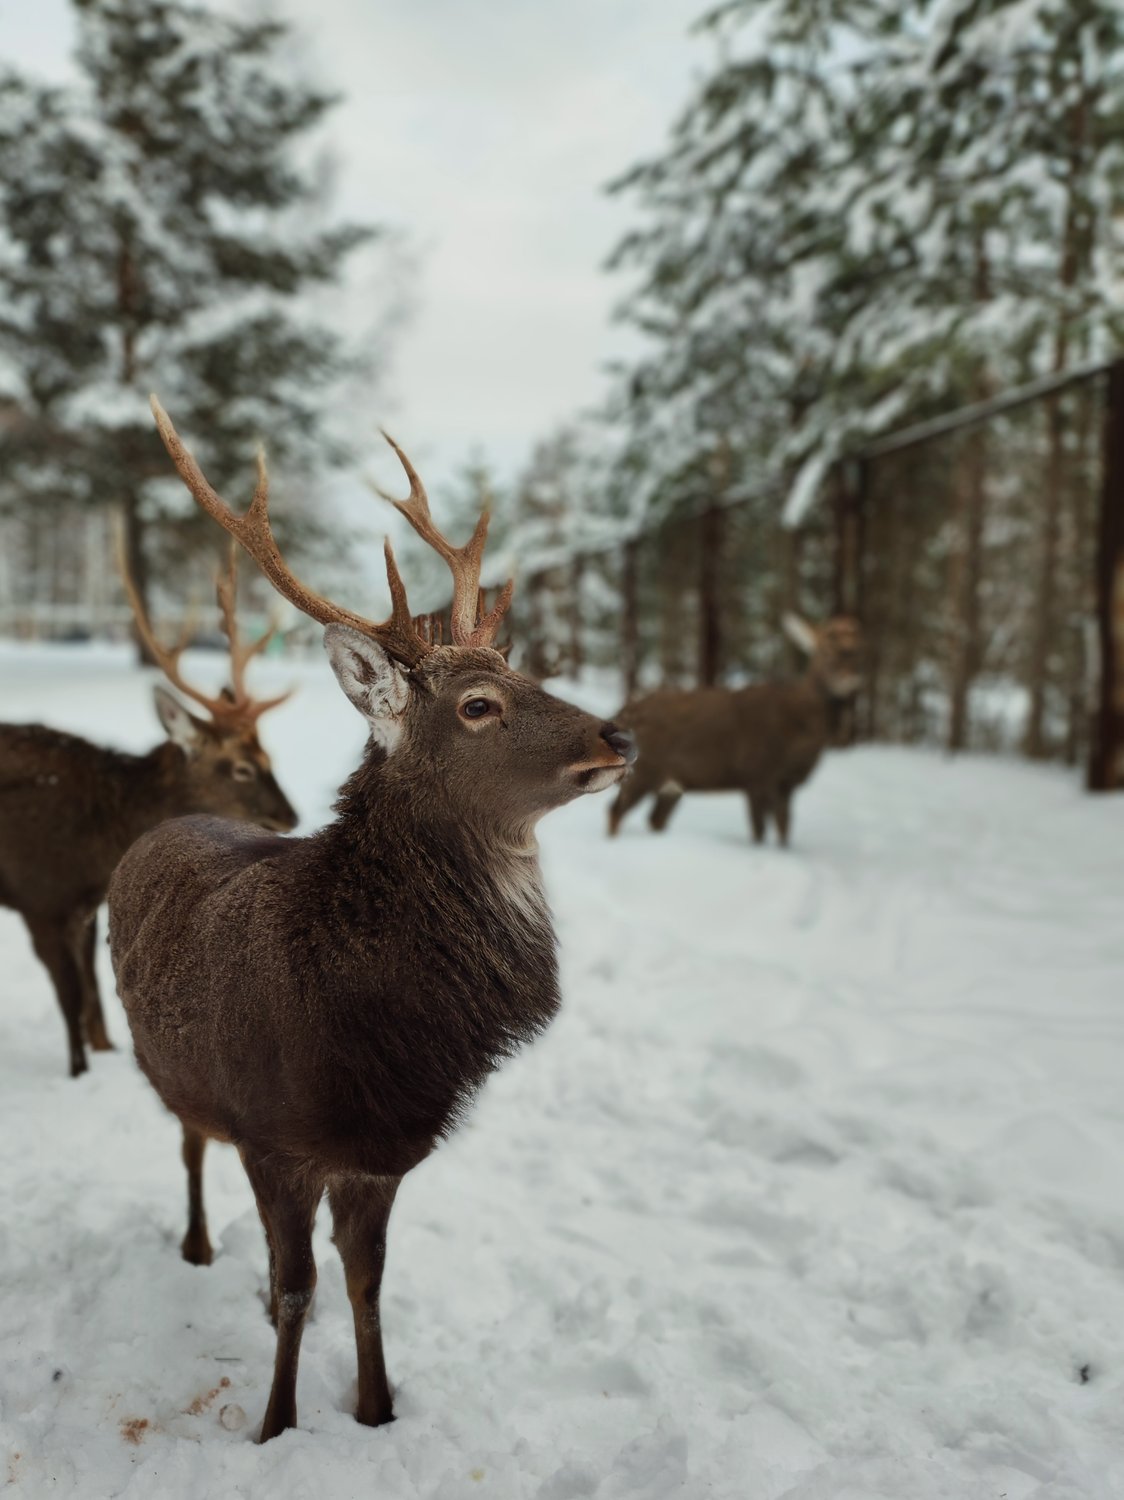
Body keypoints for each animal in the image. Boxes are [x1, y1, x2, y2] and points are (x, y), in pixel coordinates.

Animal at [0, 552, 298, 1080]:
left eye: (270, 757)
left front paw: (105, 1051)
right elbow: (71, 998)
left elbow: (93, 996)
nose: (290, 814)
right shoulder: (42, 897)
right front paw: (78, 1071)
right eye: (242, 767)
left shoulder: (84, 908)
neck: (96, 848)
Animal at [108, 399, 636, 1440]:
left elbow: (365, 1285)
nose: (618, 734)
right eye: (479, 704)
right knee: (188, 1146)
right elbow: (301, 1287)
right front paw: (276, 1425)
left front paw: (377, 1410)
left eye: (527, 672)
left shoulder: (382, 1155)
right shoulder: (274, 1137)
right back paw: (195, 1248)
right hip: (177, 1073)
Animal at [609, 609, 864, 846]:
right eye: (826, 650)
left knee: (655, 819)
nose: (851, 676)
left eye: (859, 649)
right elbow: (759, 832)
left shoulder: (787, 783)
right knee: (615, 811)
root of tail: (620, 713)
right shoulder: (757, 773)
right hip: (644, 770)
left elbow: (784, 830)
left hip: (671, 784)